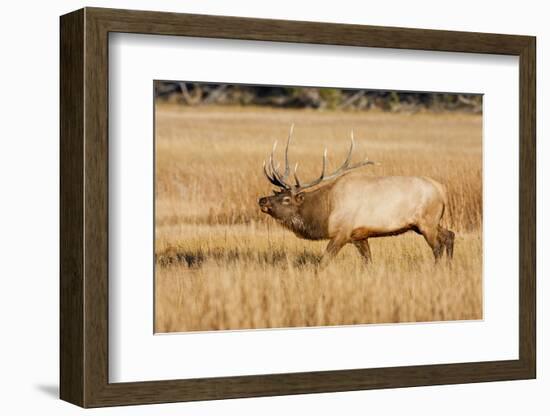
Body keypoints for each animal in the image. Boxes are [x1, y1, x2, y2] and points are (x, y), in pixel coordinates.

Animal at [258, 125, 458, 266]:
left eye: (286, 199)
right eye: (276, 193)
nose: (262, 200)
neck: (325, 213)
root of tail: (442, 190)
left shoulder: (342, 232)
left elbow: (323, 262)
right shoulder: (359, 235)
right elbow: (368, 261)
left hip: (427, 222)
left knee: (437, 247)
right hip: (426, 223)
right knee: (450, 235)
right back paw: (449, 266)